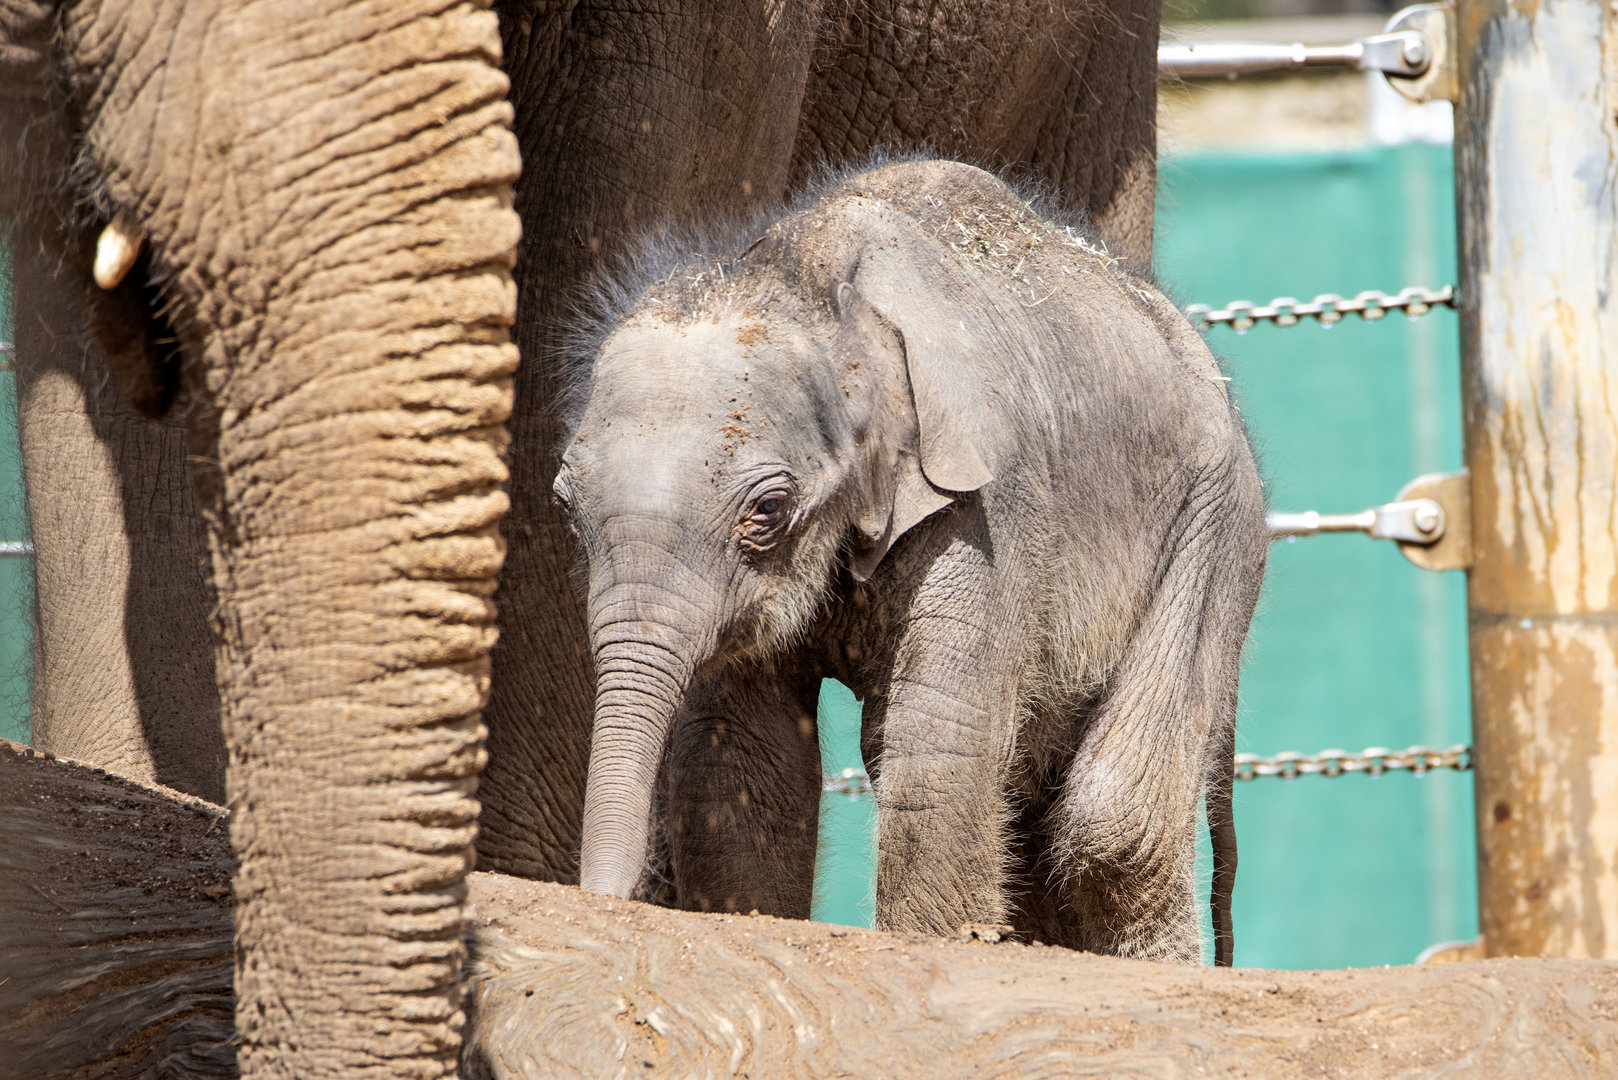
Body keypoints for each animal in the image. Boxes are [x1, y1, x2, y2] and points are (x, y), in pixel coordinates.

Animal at [558, 159, 1267, 964]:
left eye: (767, 509)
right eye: (564, 505)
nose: (613, 898)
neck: (822, 289)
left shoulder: (986, 503)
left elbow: (937, 747)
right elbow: (741, 760)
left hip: (1215, 527)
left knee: (1113, 823)